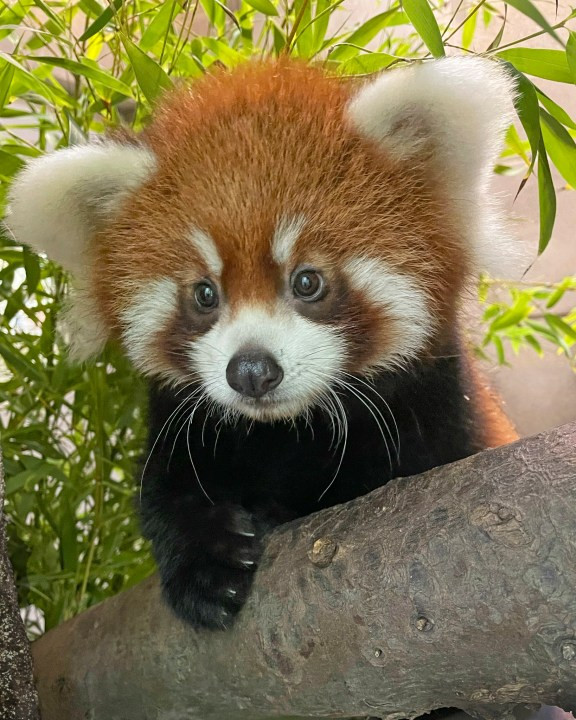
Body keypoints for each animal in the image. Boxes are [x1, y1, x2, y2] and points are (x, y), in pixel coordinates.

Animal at [4, 57, 516, 632]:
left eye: (307, 281)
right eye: (205, 294)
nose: (250, 370)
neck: (289, 434)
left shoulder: (443, 415)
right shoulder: (182, 424)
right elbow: (166, 489)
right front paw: (206, 565)